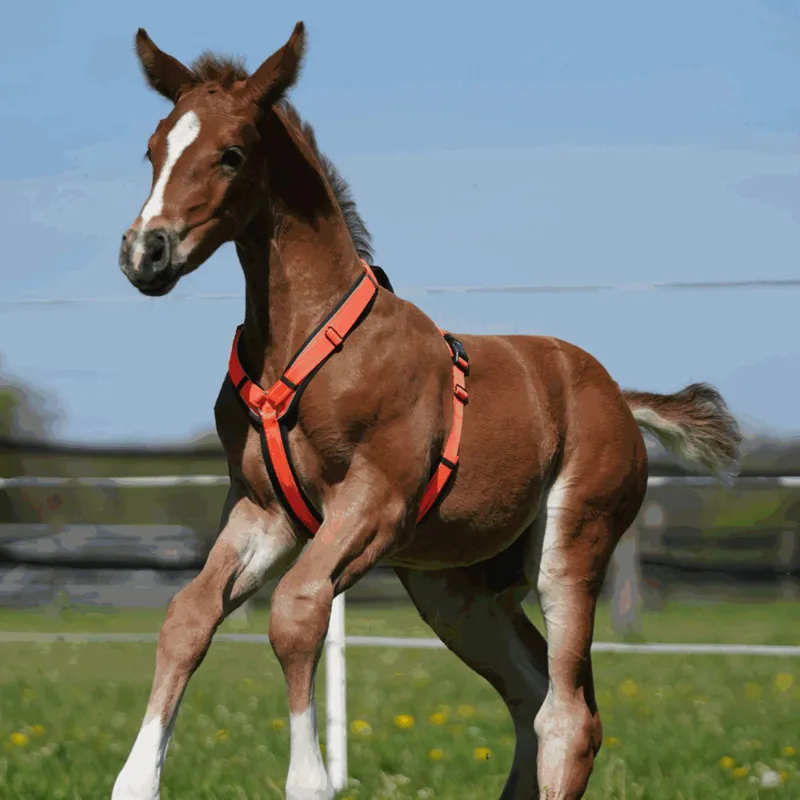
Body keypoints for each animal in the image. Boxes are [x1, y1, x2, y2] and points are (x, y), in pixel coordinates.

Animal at [112, 22, 742, 800]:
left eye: (230, 153)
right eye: (153, 148)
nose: (146, 252)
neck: (309, 341)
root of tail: (620, 397)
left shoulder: (376, 501)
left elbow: (297, 611)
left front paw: (311, 780)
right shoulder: (263, 510)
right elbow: (188, 616)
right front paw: (135, 782)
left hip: (571, 547)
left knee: (569, 715)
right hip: (457, 589)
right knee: (532, 694)